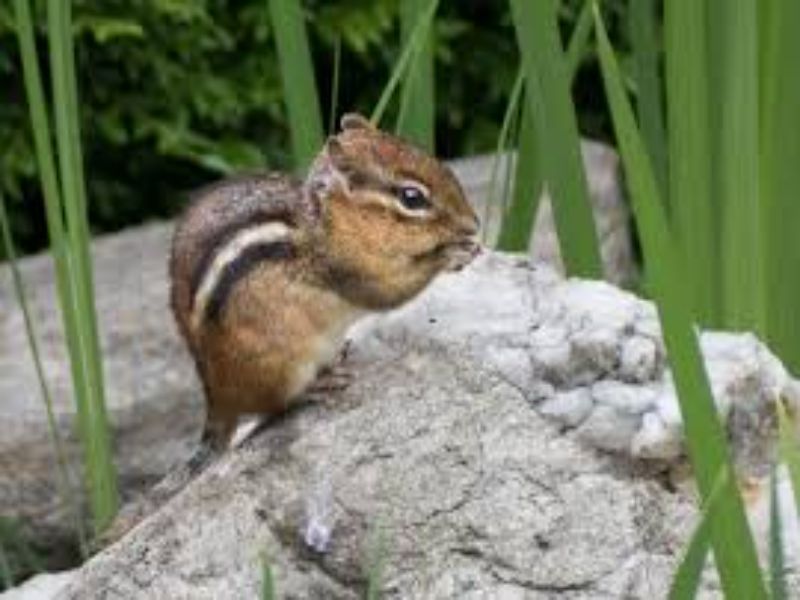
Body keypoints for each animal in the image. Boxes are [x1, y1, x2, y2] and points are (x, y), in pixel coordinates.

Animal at [169, 113, 480, 456]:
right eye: (412, 197)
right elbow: (390, 291)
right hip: (282, 365)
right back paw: (317, 387)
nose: (474, 223)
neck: (332, 220)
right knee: (277, 405)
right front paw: (452, 254)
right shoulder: (354, 270)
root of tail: (219, 400)